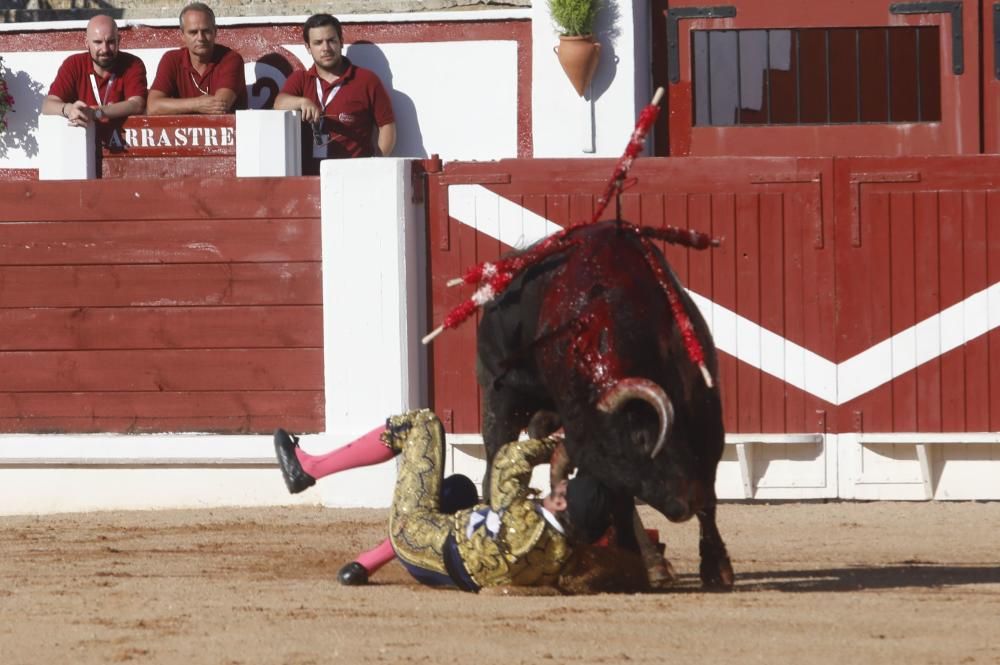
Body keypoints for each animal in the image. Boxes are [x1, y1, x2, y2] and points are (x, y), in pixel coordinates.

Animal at [476, 219, 736, 588]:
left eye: (641, 440)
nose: (680, 506)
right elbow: (625, 504)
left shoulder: (707, 410)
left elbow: (709, 492)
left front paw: (717, 568)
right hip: (499, 398)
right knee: (491, 463)